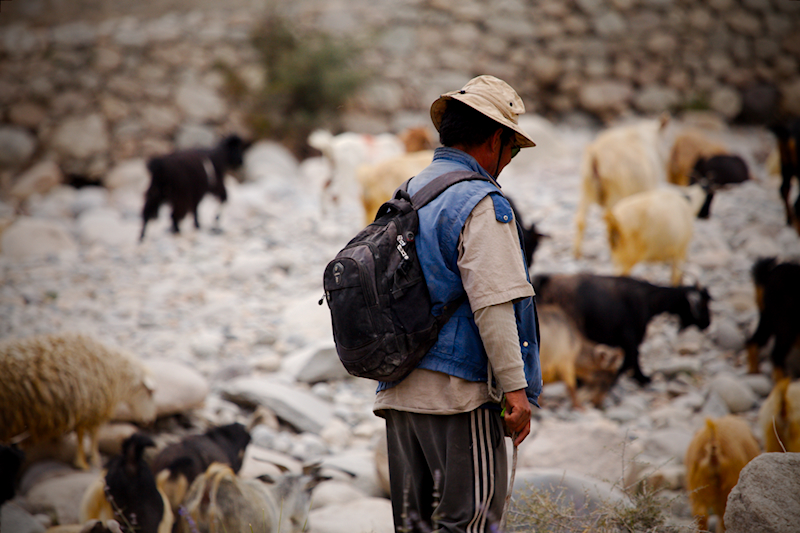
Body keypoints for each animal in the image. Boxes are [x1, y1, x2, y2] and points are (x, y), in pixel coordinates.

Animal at [0, 332, 157, 470]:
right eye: (150, 393)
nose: (150, 421)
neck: (114, 372)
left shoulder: (83, 408)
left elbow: (82, 435)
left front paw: (82, 461)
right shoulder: (92, 407)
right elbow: (91, 435)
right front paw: (91, 460)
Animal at [533, 273, 711, 385]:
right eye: (702, 304)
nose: (708, 323)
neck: (648, 300)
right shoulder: (631, 337)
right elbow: (631, 360)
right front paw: (642, 379)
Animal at [573, 114, 670, 259]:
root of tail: (596, 156)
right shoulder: (648, 189)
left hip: (586, 188)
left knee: (581, 219)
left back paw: (577, 252)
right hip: (614, 194)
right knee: (611, 222)